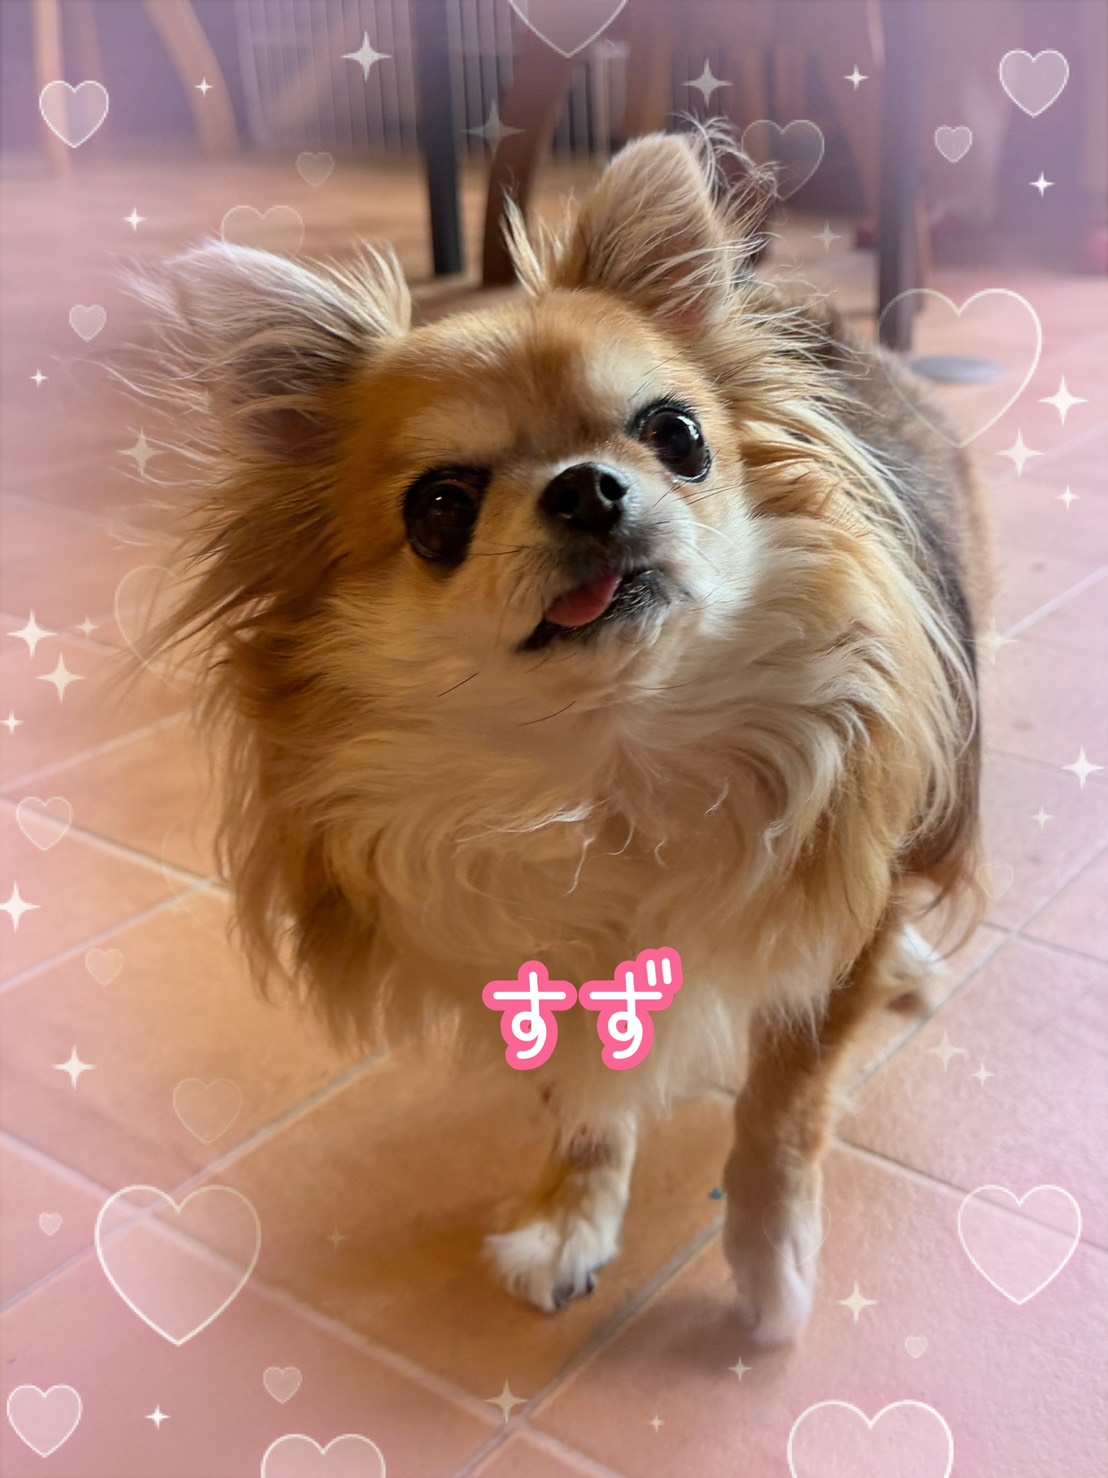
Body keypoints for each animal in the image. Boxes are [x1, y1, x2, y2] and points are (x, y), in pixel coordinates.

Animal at [133, 129, 988, 1343]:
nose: (588, 488)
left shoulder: (828, 930)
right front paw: (569, 1218)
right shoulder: (539, 953)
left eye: (678, 435)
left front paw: (769, 1267)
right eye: (439, 509)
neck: (614, 763)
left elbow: (780, 1111)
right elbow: (587, 1098)